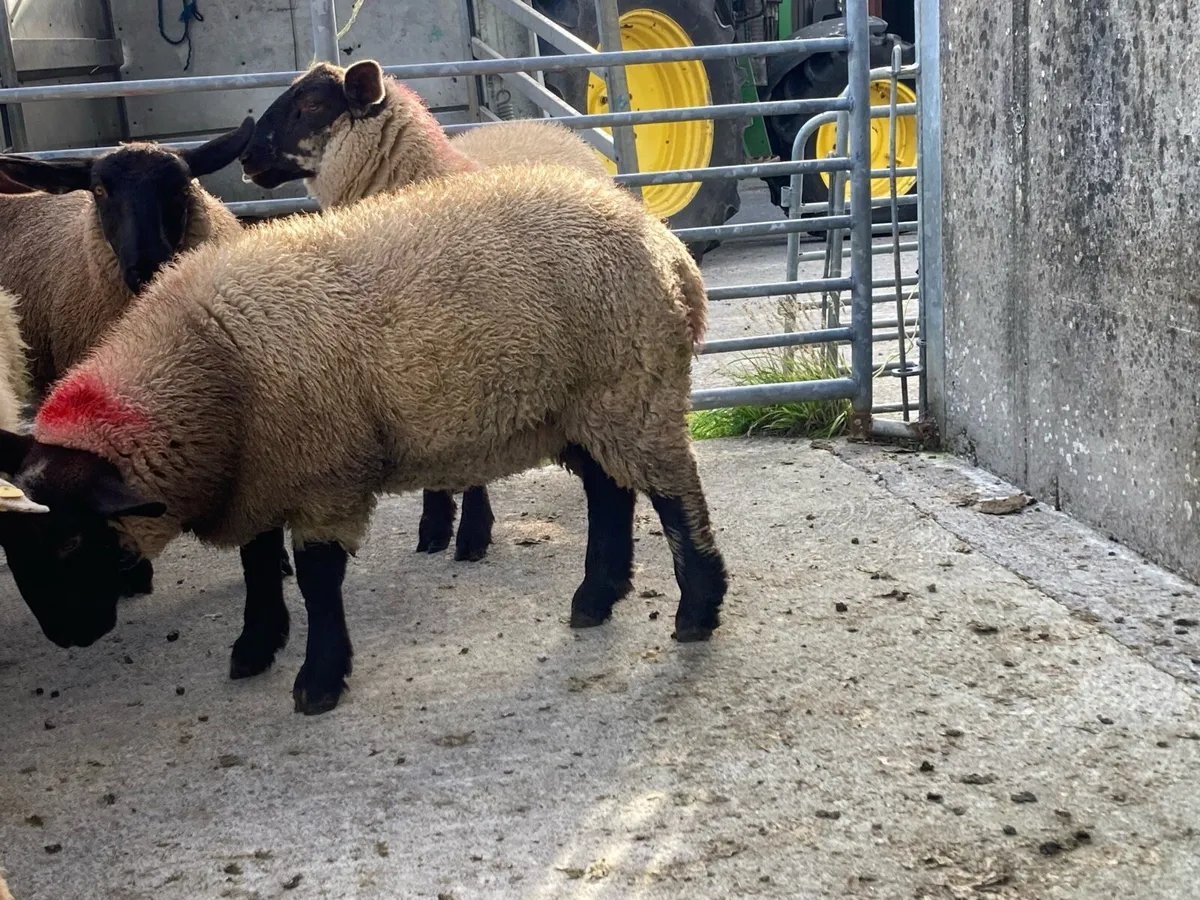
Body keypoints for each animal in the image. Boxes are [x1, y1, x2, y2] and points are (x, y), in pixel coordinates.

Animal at [0, 163, 728, 716]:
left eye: (72, 541)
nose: (69, 638)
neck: (208, 363)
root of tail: (665, 246)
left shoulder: (325, 472)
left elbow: (319, 579)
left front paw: (319, 679)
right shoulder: (263, 472)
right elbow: (258, 563)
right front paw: (256, 645)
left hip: (631, 382)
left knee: (673, 492)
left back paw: (696, 608)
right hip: (579, 404)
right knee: (610, 490)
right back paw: (596, 597)